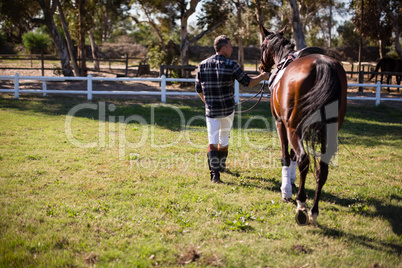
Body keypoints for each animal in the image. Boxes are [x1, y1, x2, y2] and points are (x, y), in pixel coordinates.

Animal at [260, 28, 348, 226]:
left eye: (262, 46)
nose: (261, 67)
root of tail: (323, 65)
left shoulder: (280, 123)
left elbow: (286, 157)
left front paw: (286, 191)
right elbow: (293, 157)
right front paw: (291, 182)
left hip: (293, 128)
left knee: (304, 160)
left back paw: (301, 205)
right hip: (326, 130)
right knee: (322, 168)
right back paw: (313, 211)